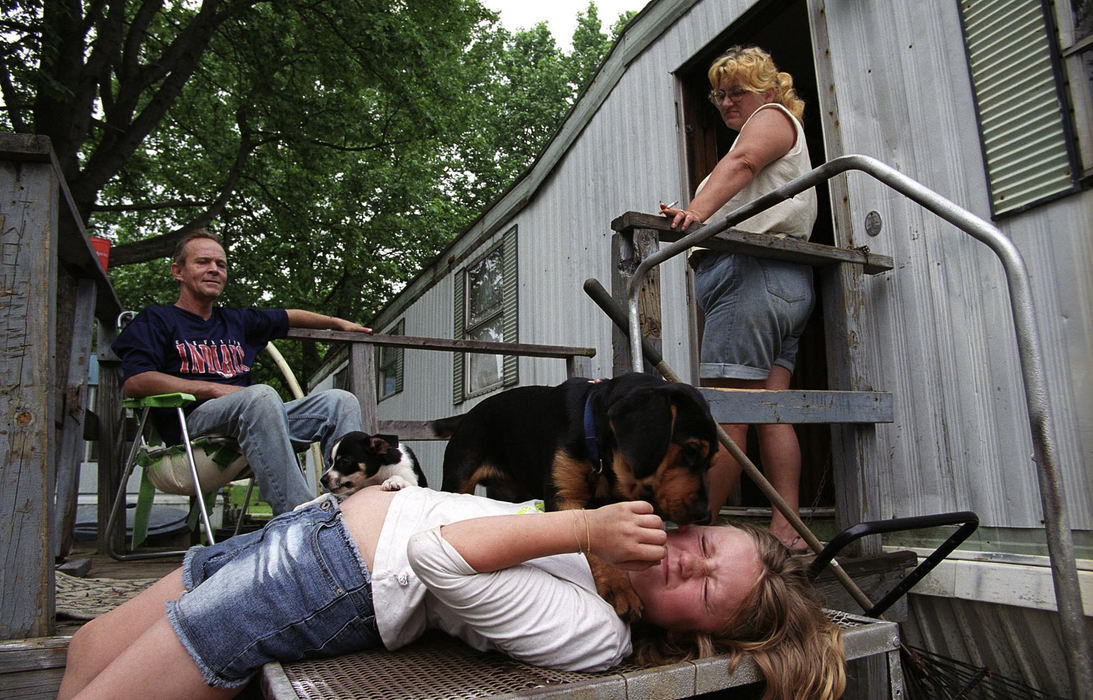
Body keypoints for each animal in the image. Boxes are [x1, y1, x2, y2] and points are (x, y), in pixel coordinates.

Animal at [430, 371, 721, 616]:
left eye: (711, 463)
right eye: (691, 451)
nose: (704, 515)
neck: (597, 443)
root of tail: (467, 415)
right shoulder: (565, 497)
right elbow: (599, 544)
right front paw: (619, 587)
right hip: (459, 476)